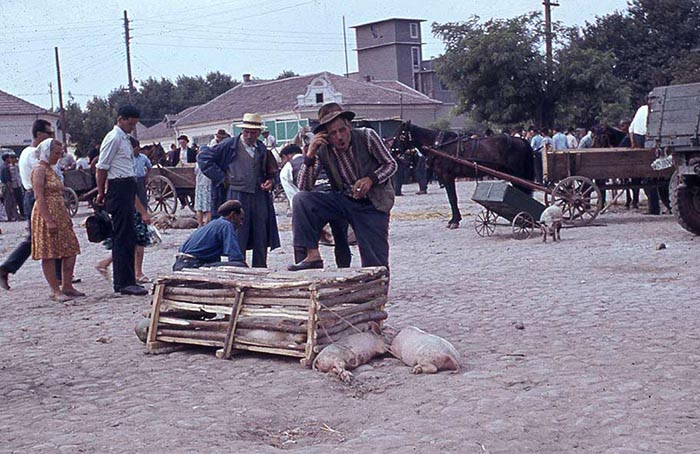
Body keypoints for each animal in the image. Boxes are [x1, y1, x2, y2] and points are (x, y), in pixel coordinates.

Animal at [392, 121, 532, 229]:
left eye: (401, 135)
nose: (392, 151)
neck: (439, 146)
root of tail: (521, 140)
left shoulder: (447, 176)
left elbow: (452, 198)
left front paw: (454, 221)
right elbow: (452, 198)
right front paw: (455, 219)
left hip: (516, 174)